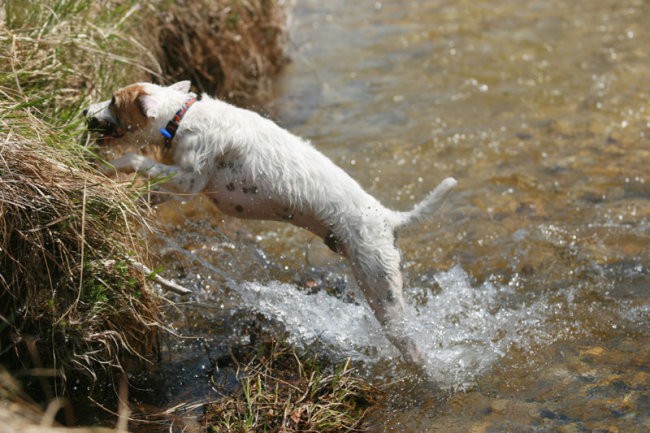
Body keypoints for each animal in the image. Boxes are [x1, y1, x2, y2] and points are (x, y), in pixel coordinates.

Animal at [82, 80, 456, 364]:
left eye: (113, 101)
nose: (84, 112)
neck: (181, 115)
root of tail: (389, 218)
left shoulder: (190, 180)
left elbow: (135, 159)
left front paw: (107, 168)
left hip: (381, 289)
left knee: (412, 347)